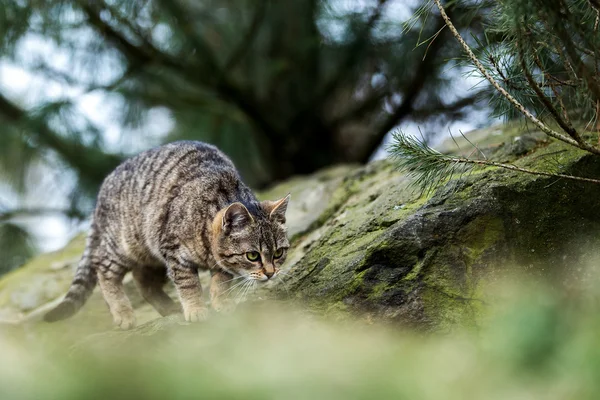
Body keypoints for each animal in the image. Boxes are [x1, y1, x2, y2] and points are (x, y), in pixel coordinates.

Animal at [43, 142, 290, 330]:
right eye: (252, 256)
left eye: (279, 253)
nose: (270, 273)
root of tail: (102, 190)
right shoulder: (174, 253)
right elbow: (189, 284)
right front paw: (196, 309)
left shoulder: (217, 264)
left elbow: (221, 281)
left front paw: (222, 303)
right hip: (123, 246)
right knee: (103, 269)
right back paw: (123, 313)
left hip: (150, 257)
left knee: (142, 281)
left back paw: (169, 308)